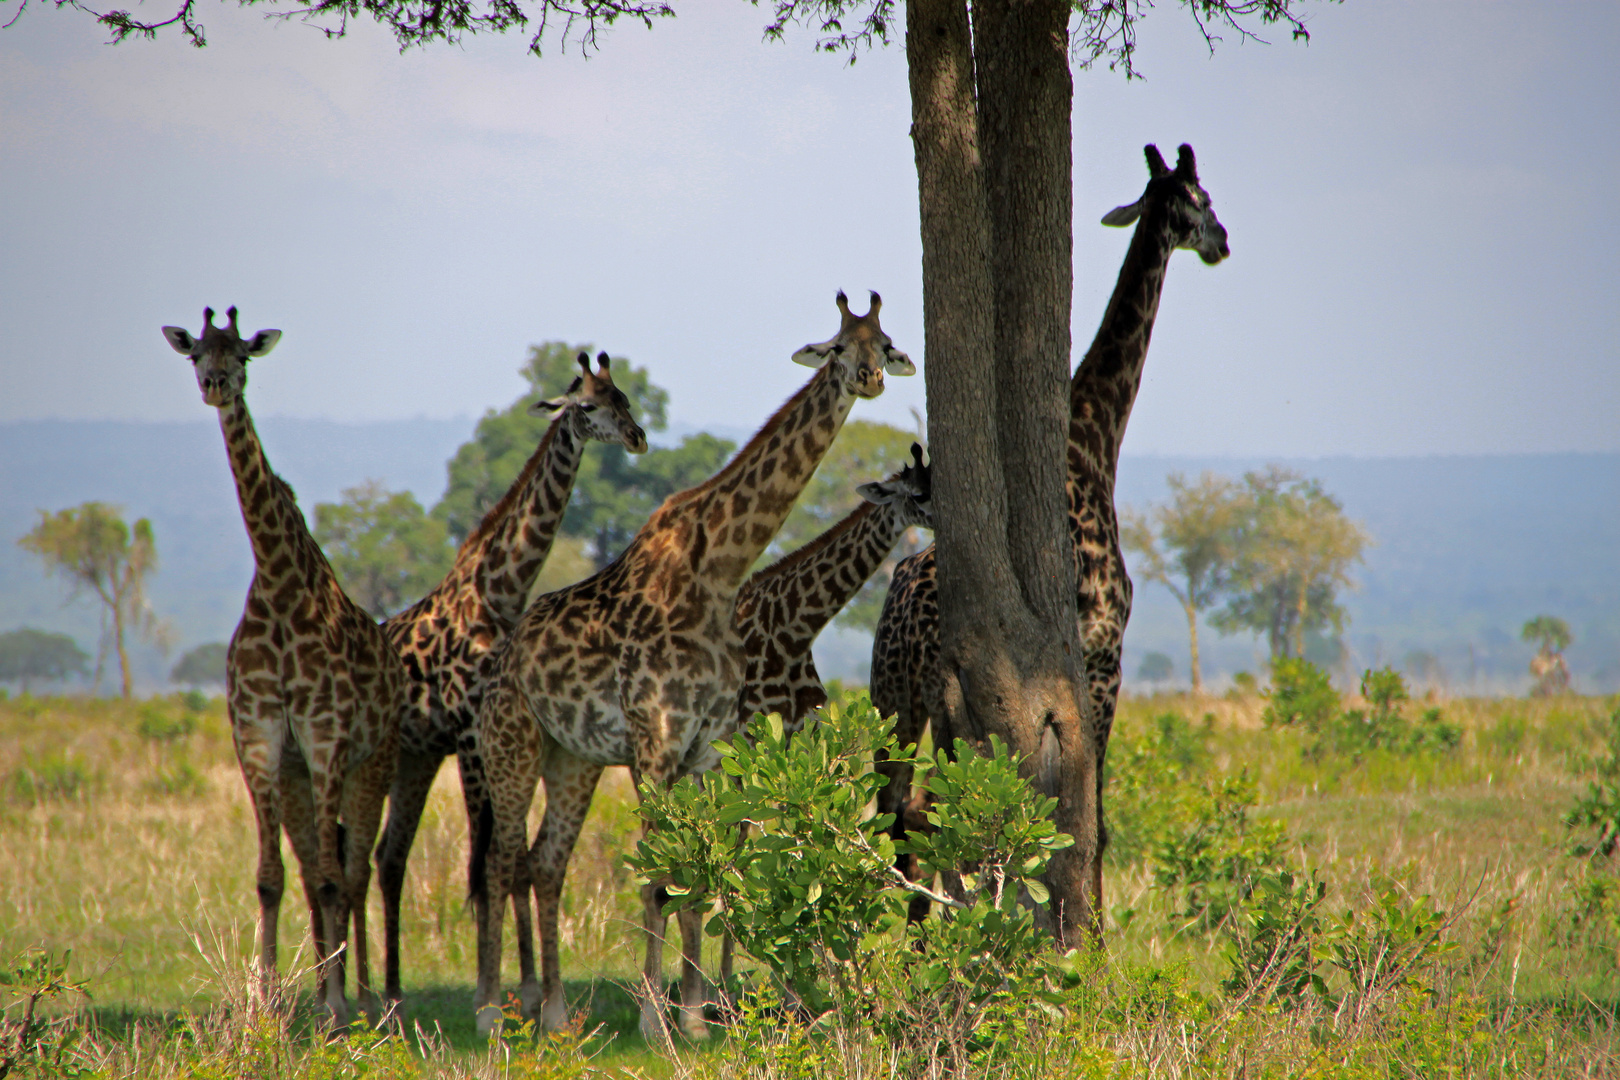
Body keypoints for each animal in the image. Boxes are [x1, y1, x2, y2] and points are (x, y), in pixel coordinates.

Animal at [372, 354, 644, 1003]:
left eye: (623, 396)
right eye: (589, 406)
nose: (637, 436)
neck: (499, 590)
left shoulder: (493, 738)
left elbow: (515, 856)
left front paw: (527, 985)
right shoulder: (474, 736)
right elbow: (487, 855)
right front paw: (491, 988)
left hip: (415, 757)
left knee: (387, 857)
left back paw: (390, 991)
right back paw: (358, 992)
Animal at [466, 291, 913, 1042]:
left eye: (884, 343)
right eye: (837, 348)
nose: (873, 379)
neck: (720, 572)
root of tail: (501, 660)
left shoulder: (710, 748)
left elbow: (703, 878)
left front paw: (699, 1019)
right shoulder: (655, 746)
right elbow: (659, 878)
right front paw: (658, 1018)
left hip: (572, 758)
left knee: (545, 864)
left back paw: (554, 1013)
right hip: (511, 748)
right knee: (502, 863)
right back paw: (495, 1014)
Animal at [874, 143, 1224, 913]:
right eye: (1205, 198)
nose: (1223, 242)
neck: (1094, 432)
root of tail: (907, 617)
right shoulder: (1104, 654)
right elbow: (1093, 817)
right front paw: (1093, 926)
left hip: (895, 698)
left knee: (899, 812)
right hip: (951, 708)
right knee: (934, 815)